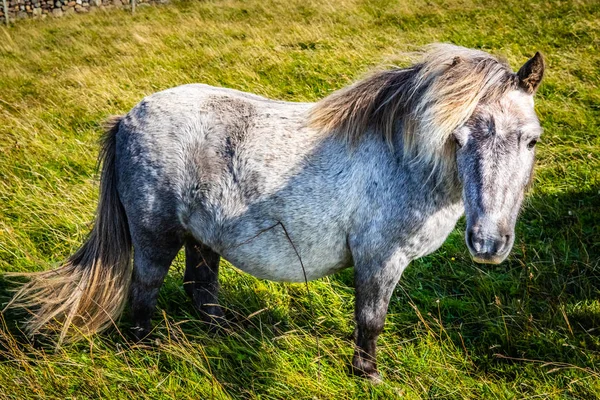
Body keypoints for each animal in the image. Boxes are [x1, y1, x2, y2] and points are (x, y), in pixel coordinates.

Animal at [5, 43, 544, 382]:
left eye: (531, 140)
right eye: (460, 137)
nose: (488, 243)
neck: (405, 162)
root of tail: (128, 118)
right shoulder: (380, 260)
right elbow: (371, 320)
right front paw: (367, 375)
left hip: (204, 238)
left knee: (201, 290)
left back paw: (221, 335)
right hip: (157, 237)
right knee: (145, 291)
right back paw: (144, 350)